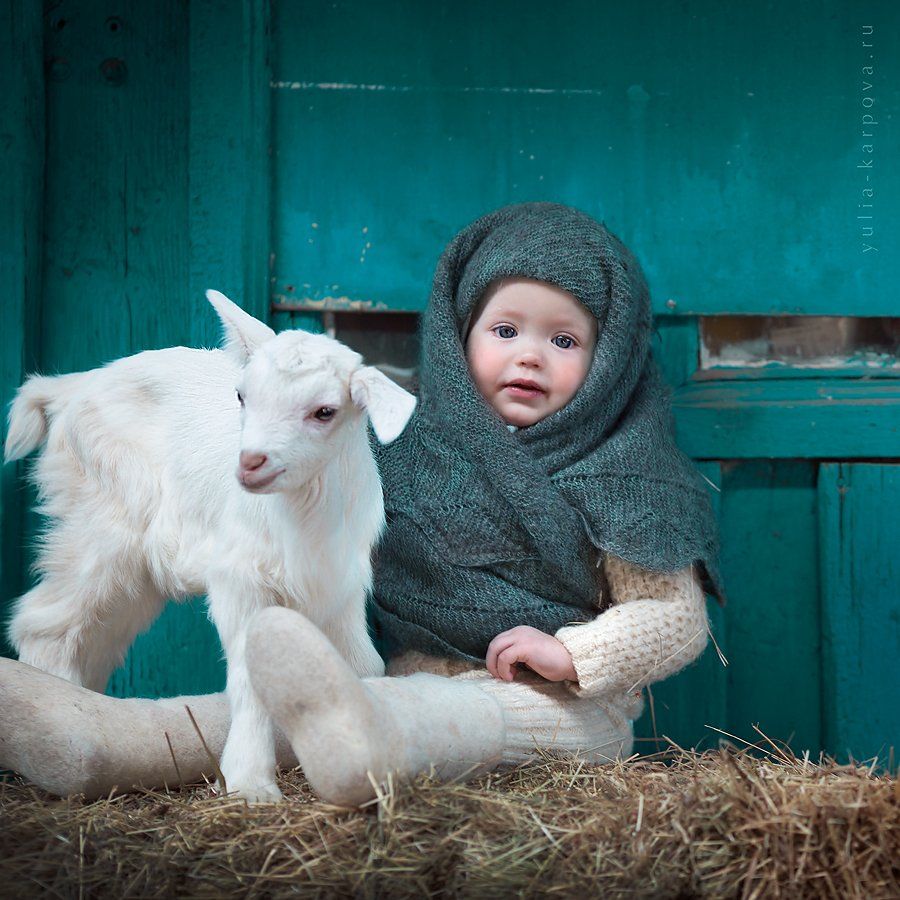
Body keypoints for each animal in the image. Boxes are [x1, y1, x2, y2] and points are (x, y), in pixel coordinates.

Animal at [4, 294, 414, 800]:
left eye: (325, 411)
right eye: (242, 396)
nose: (251, 463)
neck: (302, 521)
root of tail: (69, 389)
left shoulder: (340, 586)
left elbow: (363, 664)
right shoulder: (238, 577)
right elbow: (250, 678)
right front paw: (250, 785)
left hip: (134, 574)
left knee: (96, 636)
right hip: (100, 523)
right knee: (45, 623)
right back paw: (60, 720)